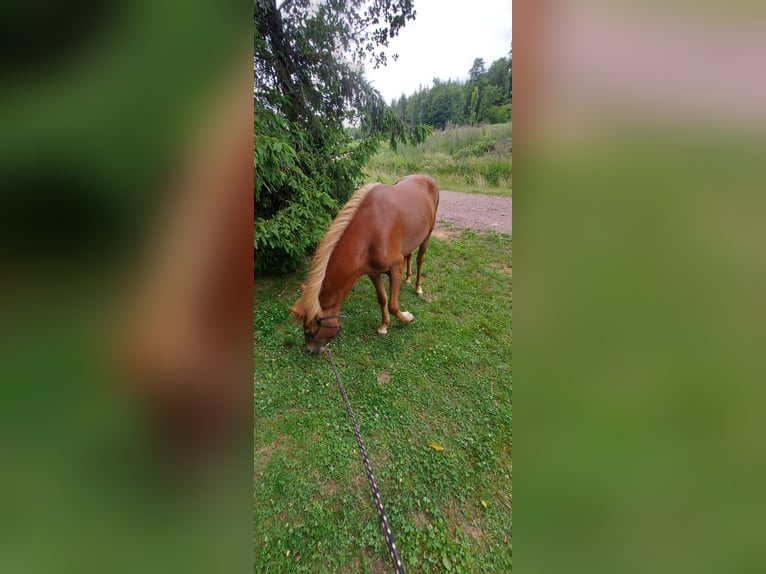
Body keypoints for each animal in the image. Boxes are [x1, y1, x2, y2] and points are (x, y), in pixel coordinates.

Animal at [289, 174, 440, 354]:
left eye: (309, 330)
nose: (310, 350)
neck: (371, 234)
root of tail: (427, 178)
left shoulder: (395, 268)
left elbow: (392, 305)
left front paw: (407, 318)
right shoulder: (373, 273)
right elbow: (382, 299)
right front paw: (384, 326)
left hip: (427, 235)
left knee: (420, 258)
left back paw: (418, 287)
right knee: (409, 255)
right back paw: (408, 278)